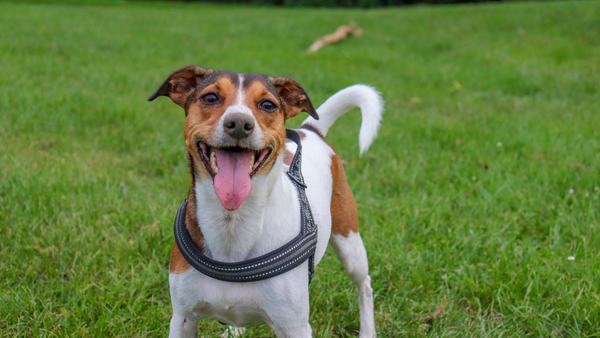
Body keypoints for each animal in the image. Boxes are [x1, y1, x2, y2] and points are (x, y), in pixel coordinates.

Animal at [148, 66, 382, 338]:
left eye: (268, 104)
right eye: (210, 98)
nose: (239, 123)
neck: (232, 222)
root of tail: (310, 130)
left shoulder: (295, 326)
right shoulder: (182, 319)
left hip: (349, 242)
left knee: (365, 286)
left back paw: (367, 330)